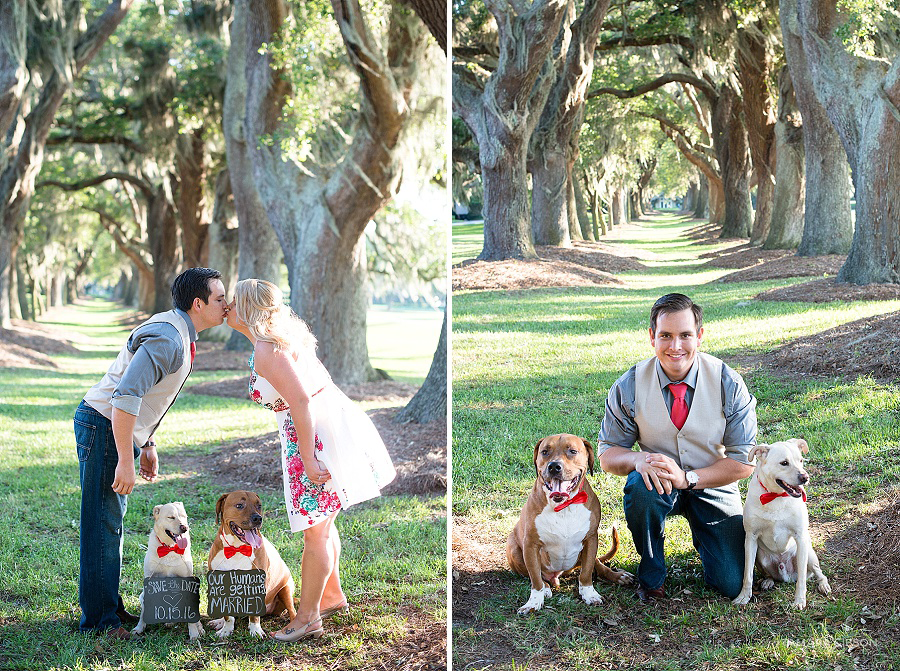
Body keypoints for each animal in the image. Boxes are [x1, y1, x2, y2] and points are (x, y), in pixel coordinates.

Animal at [133, 504, 205, 640]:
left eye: (184, 516)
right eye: (171, 517)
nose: (185, 528)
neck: (170, 548)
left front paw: (194, 633)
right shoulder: (149, 580)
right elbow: (143, 613)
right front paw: (139, 628)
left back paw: (199, 627)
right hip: (142, 596)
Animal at [208, 490, 298, 636]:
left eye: (259, 505)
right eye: (239, 505)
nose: (258, 518)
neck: (237, 548)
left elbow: (254, 614)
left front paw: (255, 630)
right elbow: (228, 616)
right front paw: (226, 629)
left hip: (286, 590)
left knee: (293, 611)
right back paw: (219, 621)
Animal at [506, 436, 632, 616]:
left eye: (572, 451)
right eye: (545, 452)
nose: (554, 466)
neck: (564, 506)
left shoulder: (591, 540)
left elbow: (586, 572)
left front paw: (589, 594)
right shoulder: (530, 545)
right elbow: (535, 580)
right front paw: (534, 602)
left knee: (597, 564)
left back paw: (618, 576)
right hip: (514, 548)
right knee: (538, 577)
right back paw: (546, 588)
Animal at [736, 438, 832, 612]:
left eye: (801, 461)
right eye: (784, 463)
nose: (805, 477)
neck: (775, 496)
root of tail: (787, 575)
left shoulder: (800, 537)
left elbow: (802, 580)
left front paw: (799, 600)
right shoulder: (751, 539)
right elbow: (747, 574)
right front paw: (743, 597)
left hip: (809, 554)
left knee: (818, 572)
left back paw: (823, 585)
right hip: (760, 555)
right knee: (768, 574)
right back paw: (768, 581)